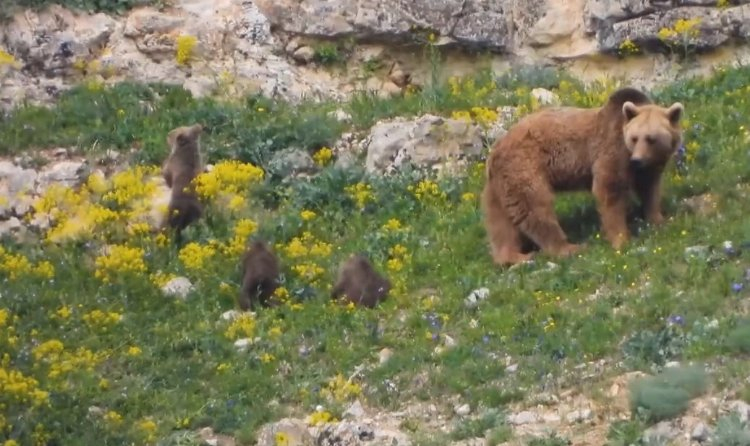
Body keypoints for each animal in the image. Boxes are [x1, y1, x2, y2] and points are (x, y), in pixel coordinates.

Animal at [482, 87, 688, 264]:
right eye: (634, 138)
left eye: (651, 138)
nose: (637, 159)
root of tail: (494, 151)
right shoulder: (612, 150)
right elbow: (609, 189)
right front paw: (621, 239)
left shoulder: (648, 168)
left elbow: (650, 189)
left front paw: (658, 219)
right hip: (525, 167)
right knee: (535, 208)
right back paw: (570, 248)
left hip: (499, 185)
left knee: (501, 221)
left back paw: (512, 256)